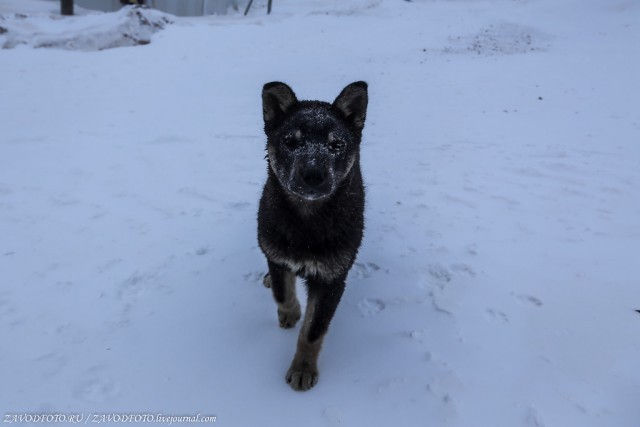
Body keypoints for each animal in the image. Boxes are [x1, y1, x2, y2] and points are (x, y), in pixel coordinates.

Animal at [255, 81, 364, 392]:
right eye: (290, 142)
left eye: (336, 145)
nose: (313, 175)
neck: (306, 224)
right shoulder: (276, 252)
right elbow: (282, 292)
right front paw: (291, 312)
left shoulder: (331, 279)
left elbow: (314, 331)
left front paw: (303, 368)